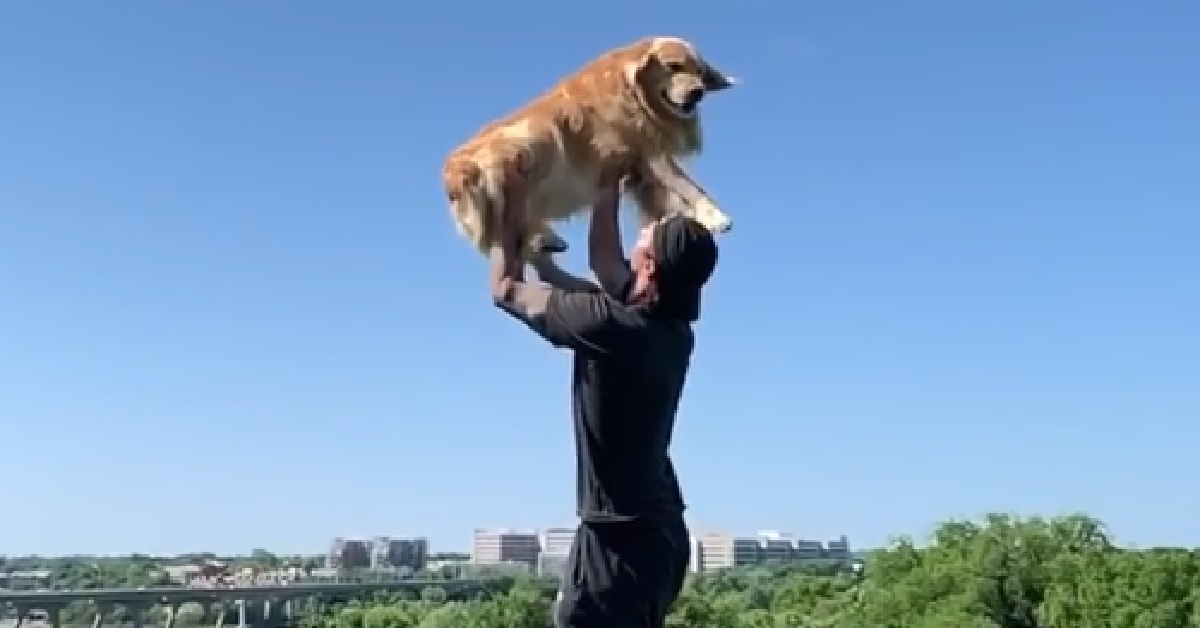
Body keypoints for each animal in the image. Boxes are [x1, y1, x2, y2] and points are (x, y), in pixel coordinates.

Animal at [446, 36, 734, 258]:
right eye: (673, 66)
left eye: (700, 72)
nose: (698, 92)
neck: (633, 90)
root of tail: (453, 173)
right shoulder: (649, 151)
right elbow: (688, 185)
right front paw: (715, 217)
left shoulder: (642, 170)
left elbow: (663, 201)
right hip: (535, 139)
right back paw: (543, 237)